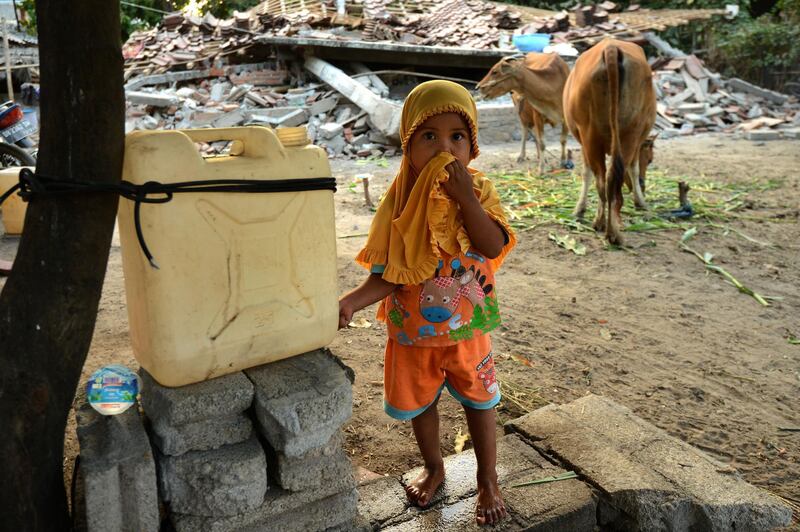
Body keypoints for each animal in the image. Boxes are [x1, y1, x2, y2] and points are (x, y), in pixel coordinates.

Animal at [564, 38, 656, 244]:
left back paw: (604, 225)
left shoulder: (584, 141)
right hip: (628, 133)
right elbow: (633, 168)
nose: (644, 185)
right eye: (650, 160)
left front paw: (580, 209)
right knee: (610, 178)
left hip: (592, 134)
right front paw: (640, 201)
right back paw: (611, 229)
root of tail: (611, 46)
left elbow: (588, 172)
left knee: (604, 178)